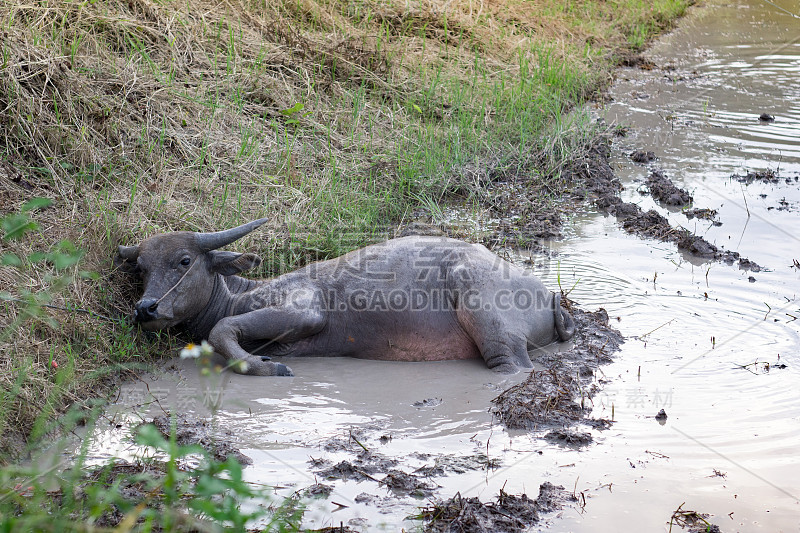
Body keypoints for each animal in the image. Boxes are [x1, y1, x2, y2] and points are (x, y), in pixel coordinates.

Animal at [115, 218, 572, 376]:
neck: (245, 293)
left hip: (487, 319)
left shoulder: (304, 310)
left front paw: (263, 366)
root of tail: (549, 295)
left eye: (183, 260)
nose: (146, 308)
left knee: (511, 363)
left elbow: (223, 329)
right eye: (141, 268)